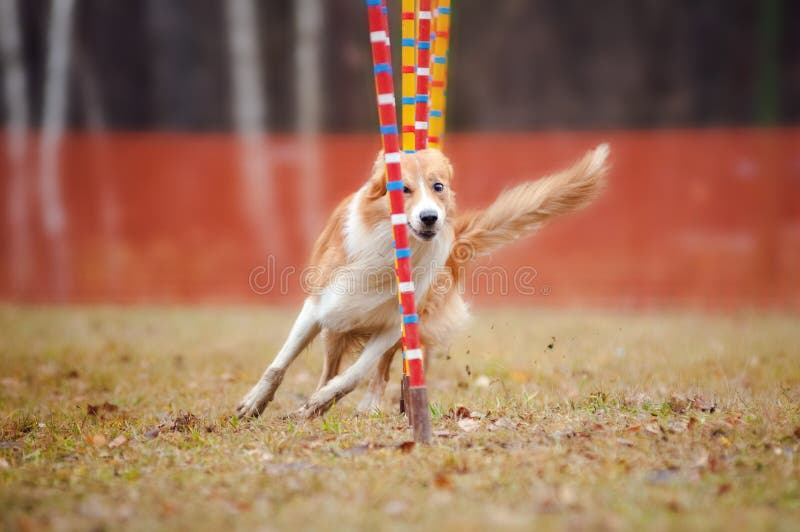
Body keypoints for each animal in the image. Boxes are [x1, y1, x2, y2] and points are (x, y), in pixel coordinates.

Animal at [234, 144, 608, 420]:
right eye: (402, 189)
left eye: (438, 186)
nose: (430, 217)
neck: (391, 248)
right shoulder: (320, 305)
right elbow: (280, 363)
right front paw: (254, 403)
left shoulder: (395, 323)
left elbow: (358, 372)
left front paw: (329, 398)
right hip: (336, 328)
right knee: (330, 365)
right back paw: (311, 407)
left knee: (379, 371)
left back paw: (349, 405)